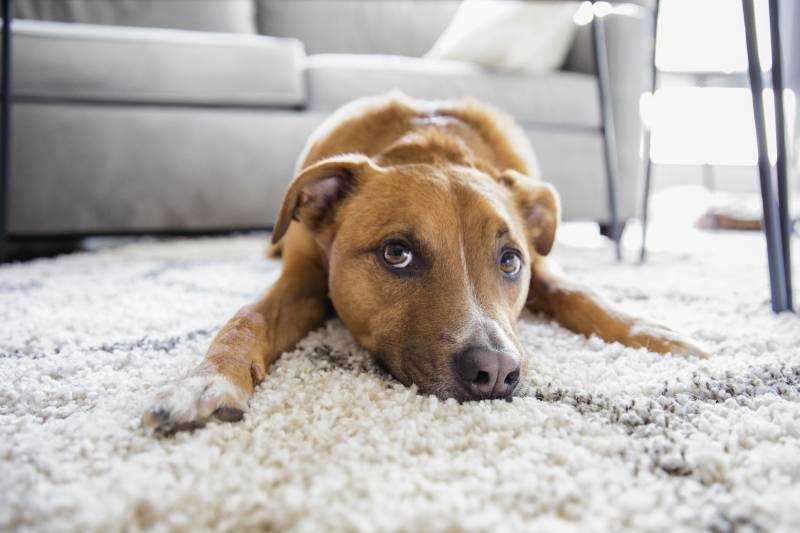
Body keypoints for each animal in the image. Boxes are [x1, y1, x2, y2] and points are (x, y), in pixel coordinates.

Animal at [142, 93, 708, 434]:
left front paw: (656, 334)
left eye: (510, 261)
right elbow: (248, 318)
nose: (496, 372)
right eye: (397, 254)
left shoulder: (545, 267)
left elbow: (582, 294)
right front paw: (206, 381)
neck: (431, 149)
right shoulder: (303, 277)